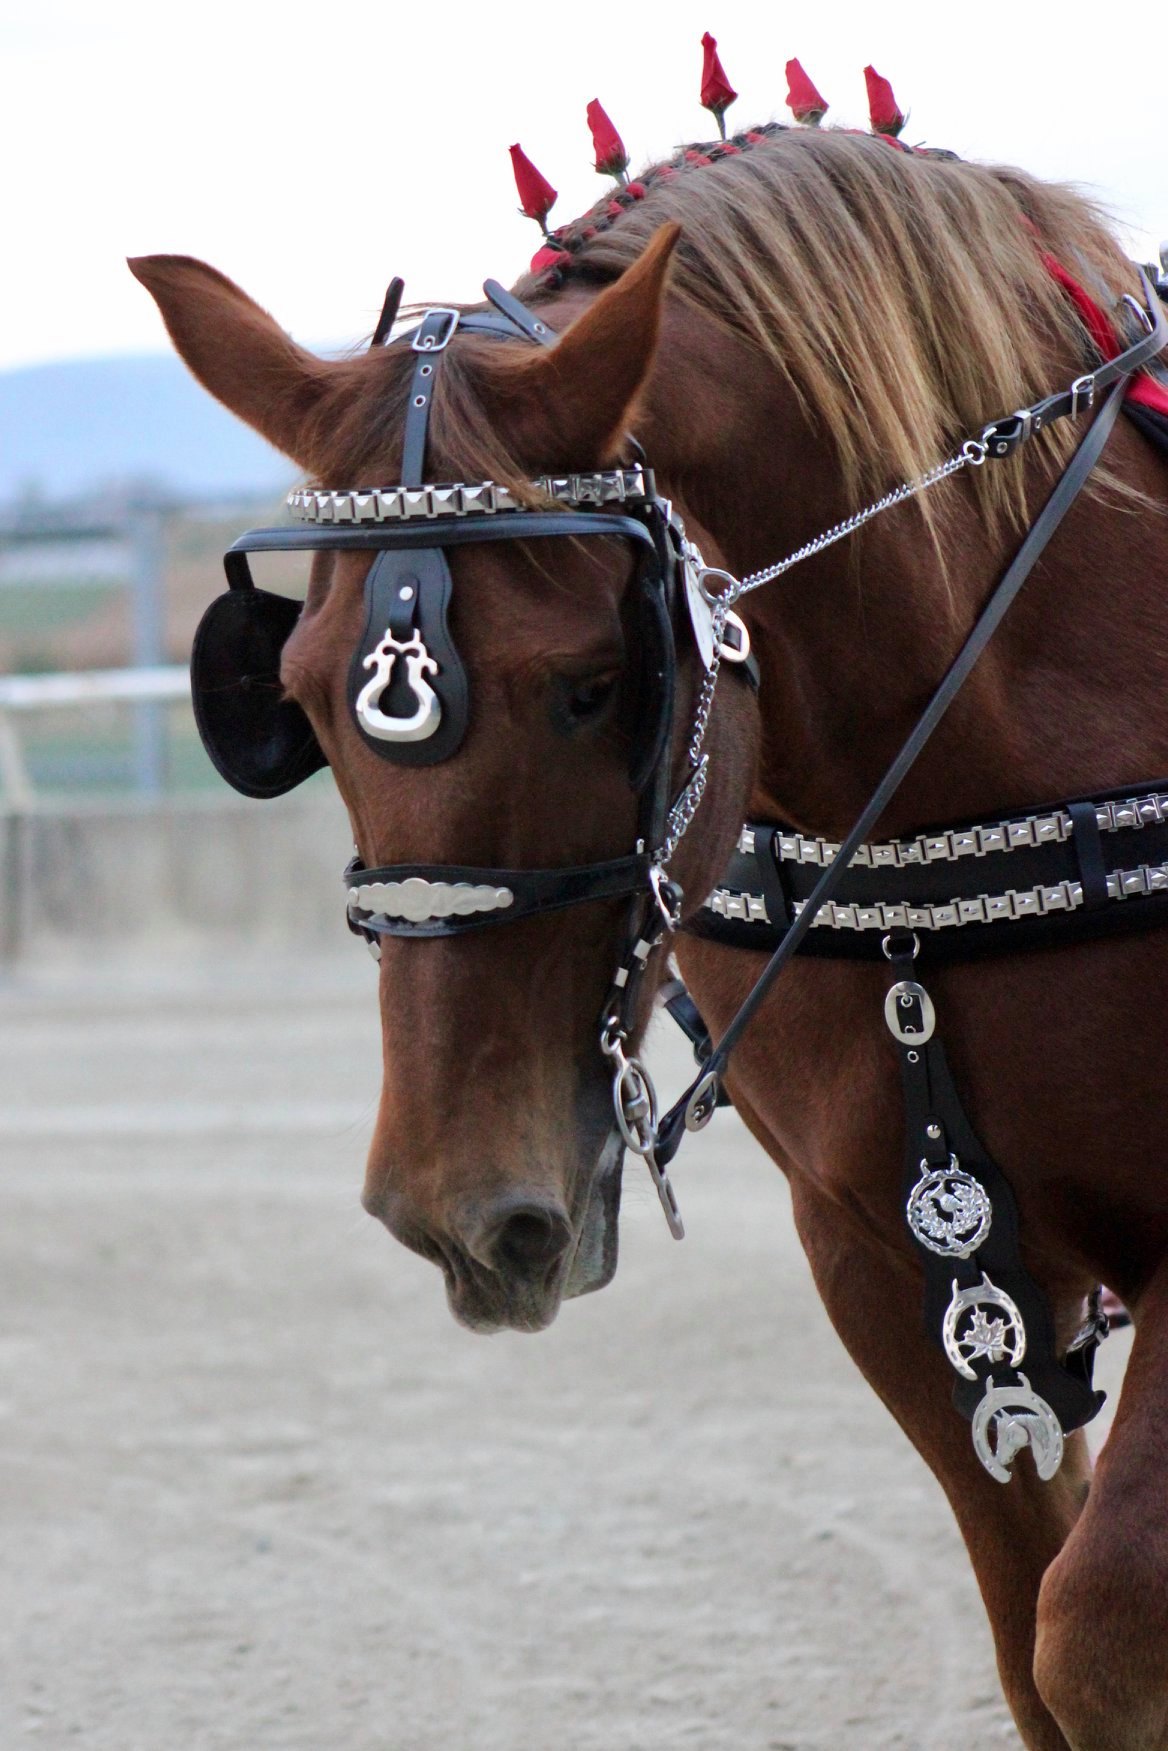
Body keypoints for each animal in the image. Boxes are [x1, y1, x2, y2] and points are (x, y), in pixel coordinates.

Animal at [130, 122, 1168, 1749]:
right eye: (291, 696)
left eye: (593, 682)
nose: (457, 1207)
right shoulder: (883, 1251)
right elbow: (1034, 1648)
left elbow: (1104, 1633)